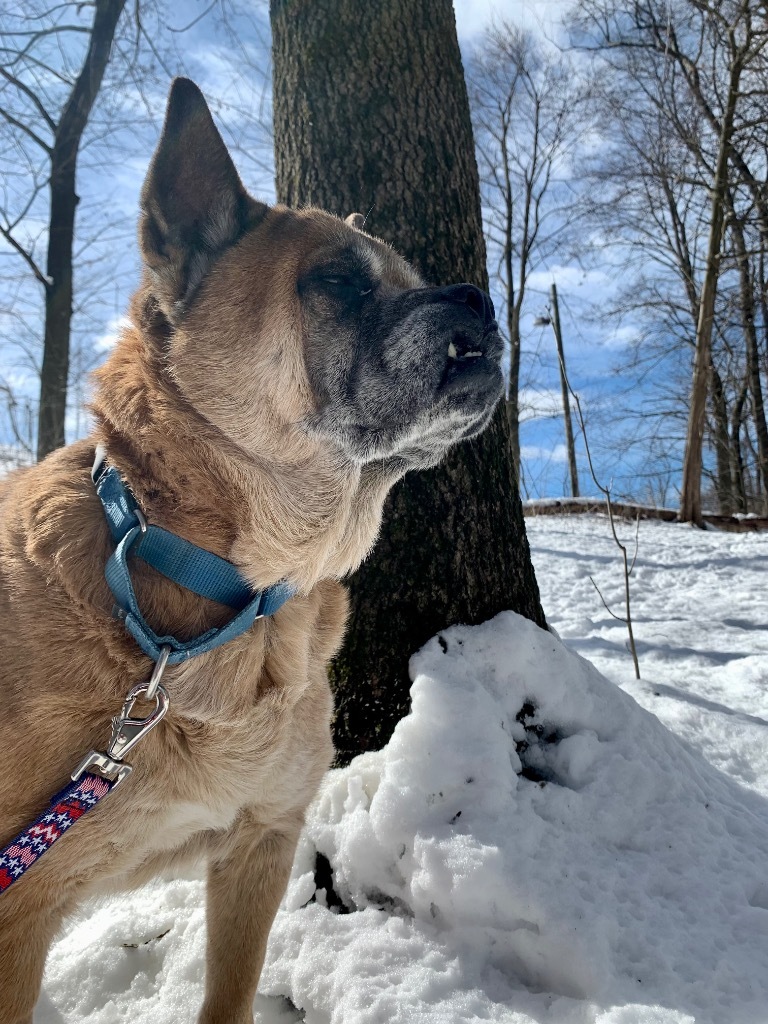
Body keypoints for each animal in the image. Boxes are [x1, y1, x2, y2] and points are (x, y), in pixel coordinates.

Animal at [0, 75, 505, 1019]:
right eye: (338, 279)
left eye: (417, 278)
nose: (479, 298)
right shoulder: (21, 913)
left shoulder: (260, 847)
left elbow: (229, 995)